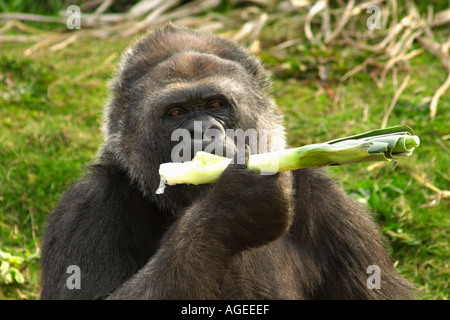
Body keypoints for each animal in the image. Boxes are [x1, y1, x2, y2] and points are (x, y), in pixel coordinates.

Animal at [41, 24, 414, 300]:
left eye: (216, 104)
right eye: (175, 113)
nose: (202, 131)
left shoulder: (336, 211)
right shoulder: (87, 204)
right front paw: (231, 208)